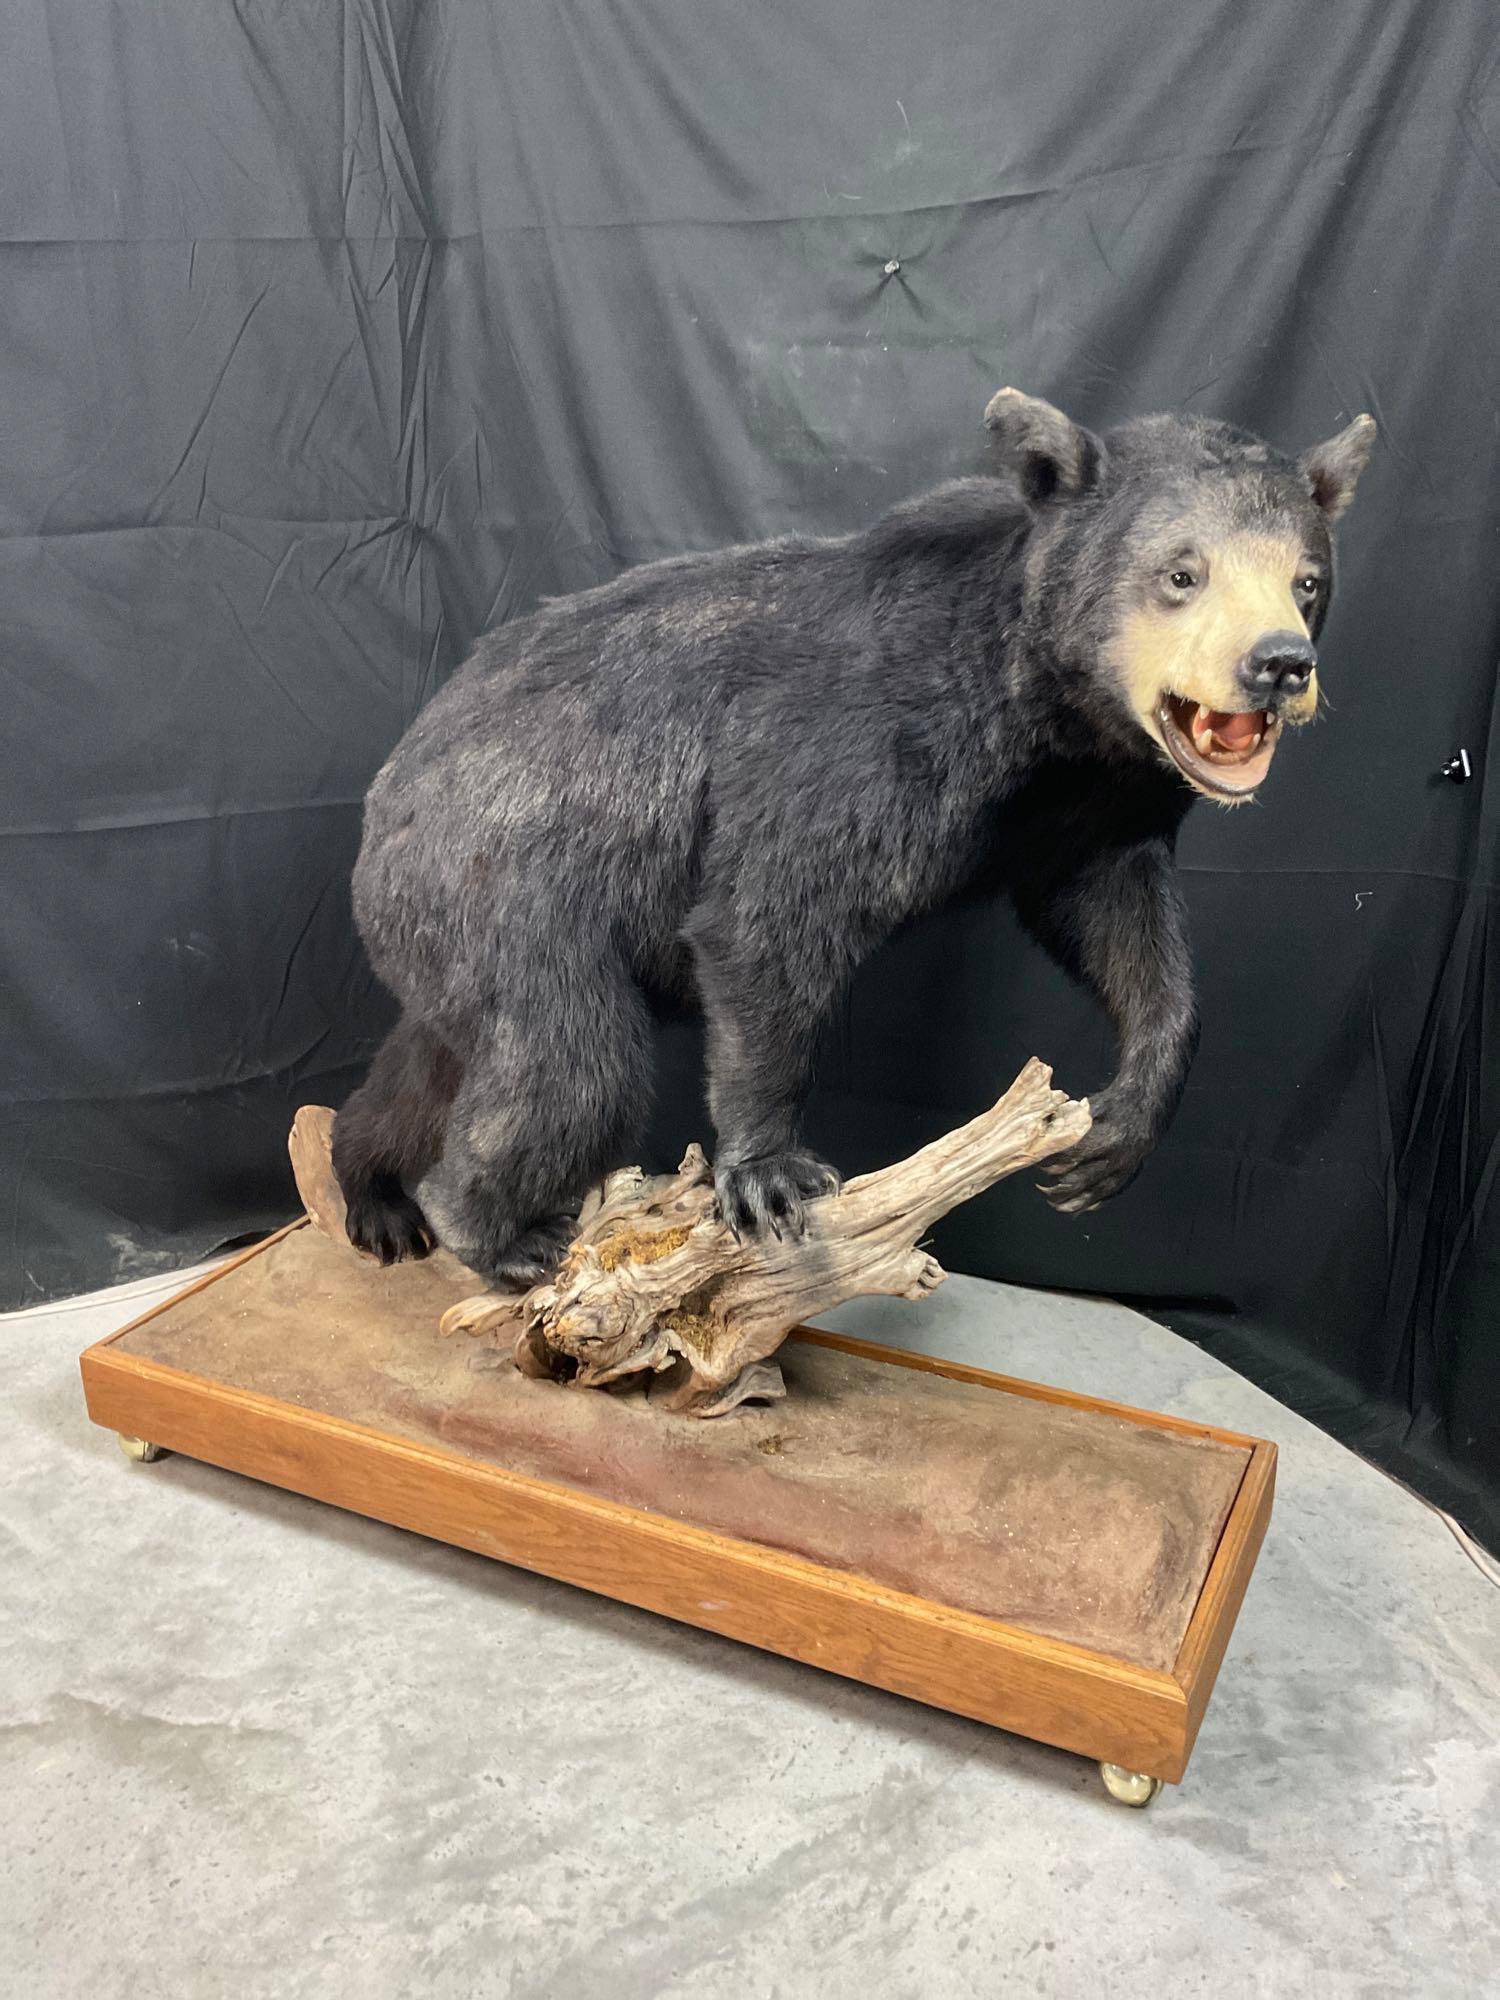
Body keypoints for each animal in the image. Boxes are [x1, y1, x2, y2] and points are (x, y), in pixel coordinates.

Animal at [332, 390, 1375, 1286]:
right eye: (1182, 572)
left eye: (1307, 579)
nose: (1279, 664)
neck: (1033, 710)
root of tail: (386, 789)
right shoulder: (845, 748)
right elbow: (765, 918)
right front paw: (768, 1171)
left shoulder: (1087, 803)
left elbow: (1113, 914)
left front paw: (1112, 1130)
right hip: (500, 878)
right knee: (571, 1062)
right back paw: (491, 1230)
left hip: (451, 930)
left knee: (436, 1058)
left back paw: (373, 1188)